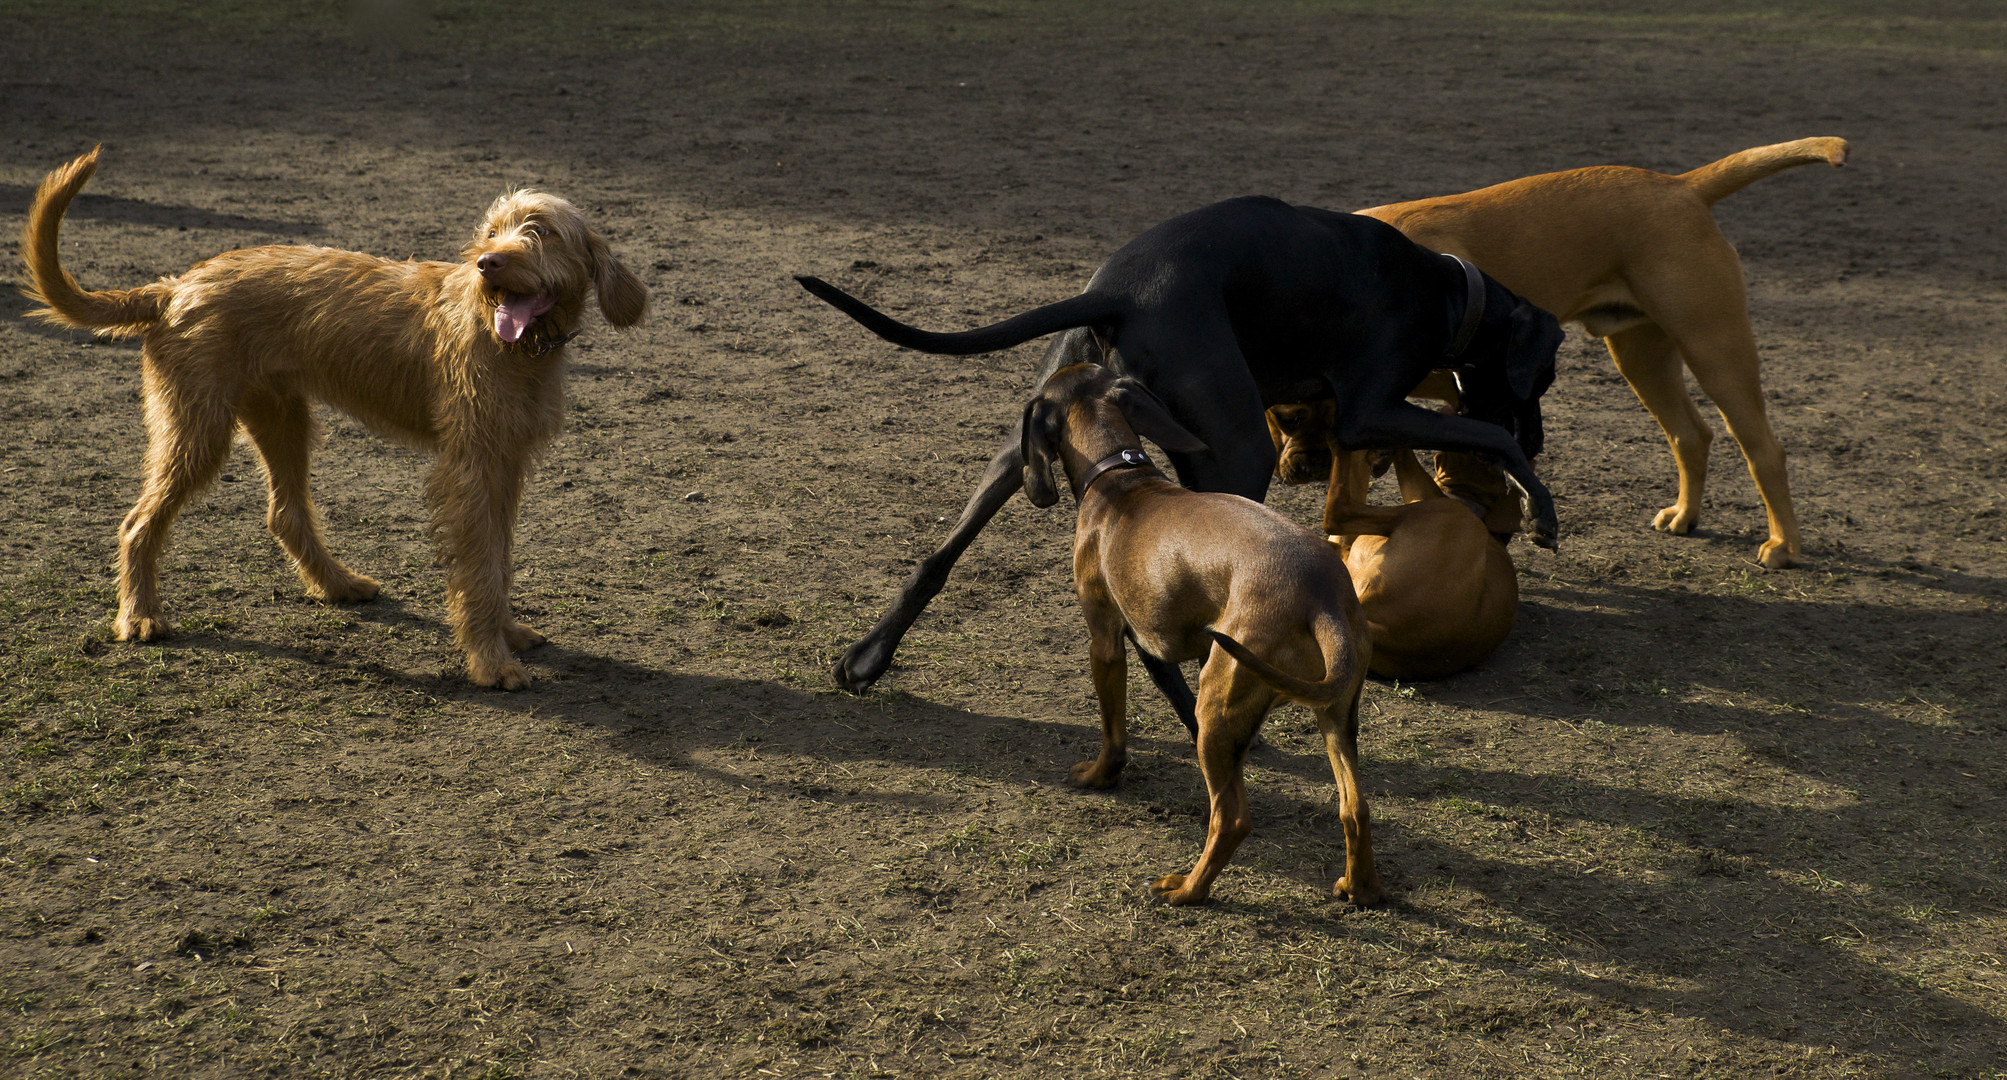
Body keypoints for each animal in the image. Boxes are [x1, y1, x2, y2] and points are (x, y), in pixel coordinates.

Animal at [23, 147, 650, 686]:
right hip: (197, 431)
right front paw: (491, 662)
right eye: (492, 232)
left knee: (284, 513)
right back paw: (139, 617)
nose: (487, 263)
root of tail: (174, 288)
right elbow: (477, 567)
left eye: (541, 231)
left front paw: (508, 632)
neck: (517, 348)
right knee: (138, 522)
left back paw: (338, 584)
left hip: (283, 420)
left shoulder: (506, 463)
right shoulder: (469, 468)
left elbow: (497, 560)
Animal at [798, 194, 1565, 706]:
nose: (1540, 436)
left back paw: (868, 656)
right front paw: (1539, 507)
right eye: (1545, 377)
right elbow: (1485, 433)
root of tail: (1115, 290)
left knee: (939, 553)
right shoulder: (1371, 411)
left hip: (1031, 439)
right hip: (1235, 448)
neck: (1451, 292)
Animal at [1019, 365, 1380, 903]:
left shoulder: (1105, 642)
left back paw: (1186, 890)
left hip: (1216, 701)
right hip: (1335, 715)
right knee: (1354, 807)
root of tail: (1323, 598)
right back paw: (1361, 890)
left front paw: (1099, 776)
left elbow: (1113, 730)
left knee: (1230, 820)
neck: (1120, 475)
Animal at [1364, 135, 1846, 566]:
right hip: (1643, 358)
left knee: (1764, 450)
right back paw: (1685, 515)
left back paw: (1783, 545)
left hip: (1715, 351)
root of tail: (1681, 185)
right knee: (1690, 434)